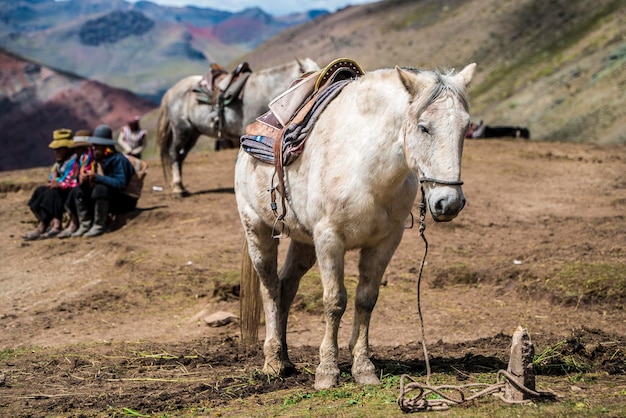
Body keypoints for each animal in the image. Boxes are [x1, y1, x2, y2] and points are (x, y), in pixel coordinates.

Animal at [154, 57, 320, 196]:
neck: (263, 89)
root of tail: (170, 92)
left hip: (193, 133)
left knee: (181, 156)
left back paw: (181, 187)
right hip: (181, 129)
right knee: (174, 153)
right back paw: (177, 188)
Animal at [234, 63, 472, 390]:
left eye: (466, 128)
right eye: (424, 127)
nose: (448, 203)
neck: (366, 167)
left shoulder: (384, 243)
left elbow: (366, 300)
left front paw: (363, 367)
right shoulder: (329, 240)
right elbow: (334, 301)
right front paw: (327, 371)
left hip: (304, 244)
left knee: (286, 286)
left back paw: (285, 358)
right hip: (257, 230)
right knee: (269, 287)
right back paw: (272, 363)